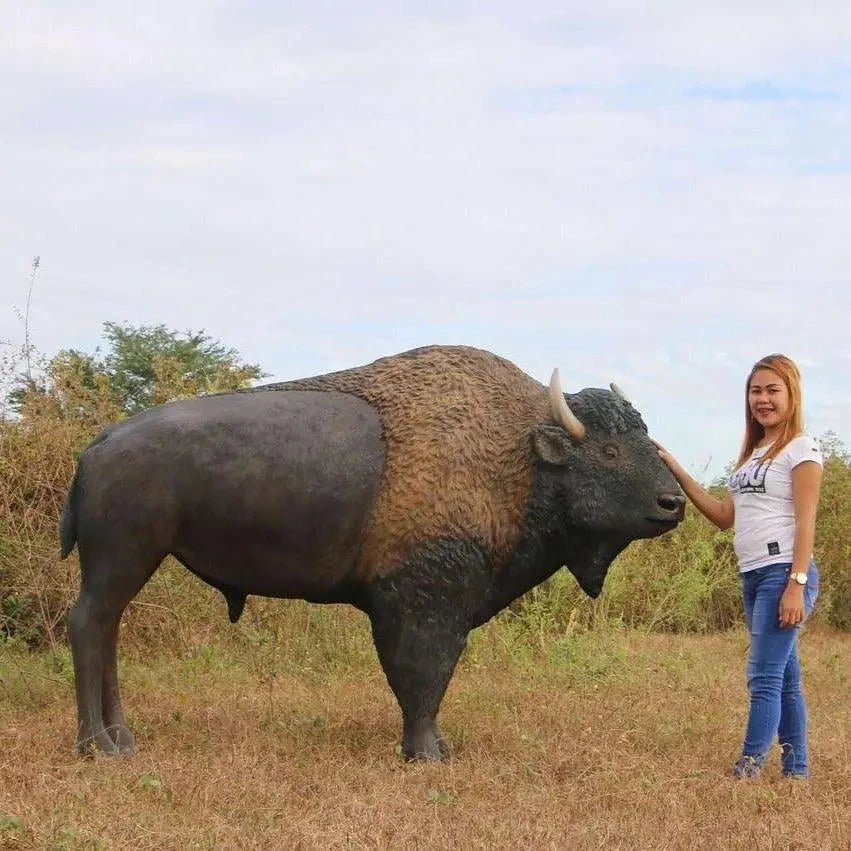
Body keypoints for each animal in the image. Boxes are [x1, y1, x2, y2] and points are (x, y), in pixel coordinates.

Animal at [59, 345, 684, 760]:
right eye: (607, 450)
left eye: (643, 438)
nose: (673, 502)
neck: (519, 454)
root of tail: (101, 443)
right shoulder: (421, 603)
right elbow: (422, 678)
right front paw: (428, 754)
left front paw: (435, 748)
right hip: (123, 557)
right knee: (89, 625)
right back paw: (98, 748)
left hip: (128, 563)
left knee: (106, 629)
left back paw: (123, 738)